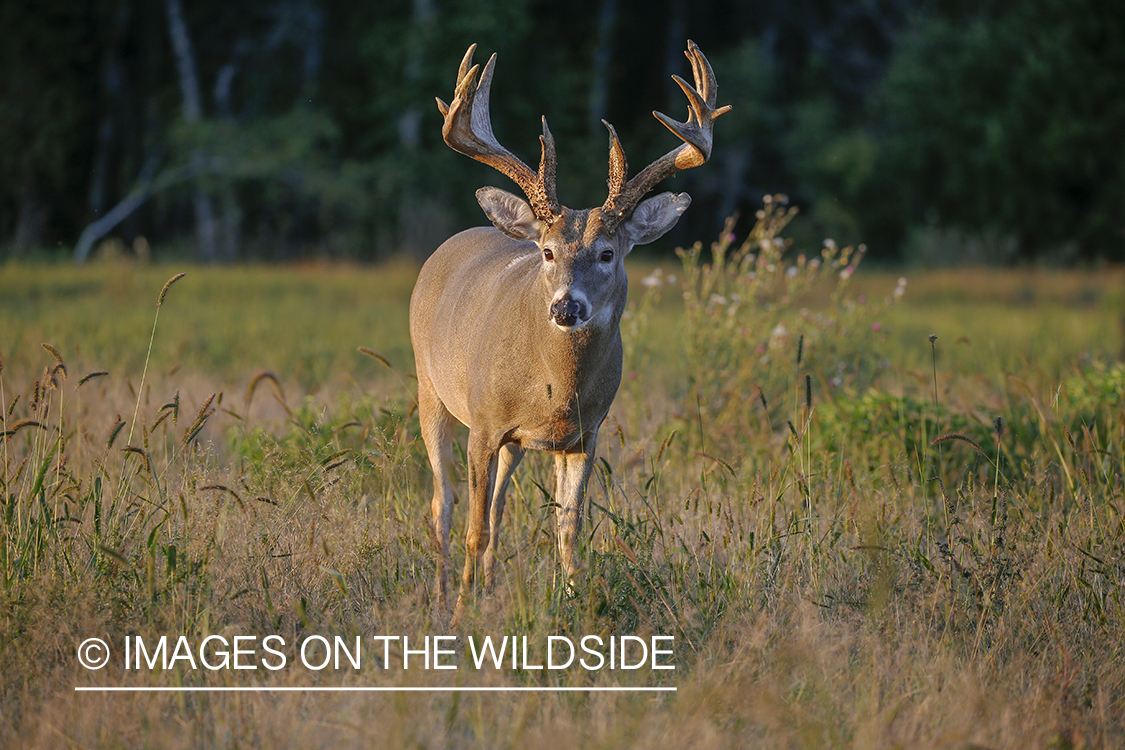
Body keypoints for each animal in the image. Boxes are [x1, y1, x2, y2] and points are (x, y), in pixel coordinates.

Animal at [414, 39, 729, 620]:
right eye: (547, 251)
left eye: (607, 253)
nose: (565, 308)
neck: (555, 386)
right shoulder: (484, 424)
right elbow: (472, 526)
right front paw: (465, 612)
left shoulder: (585, 432)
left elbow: (567, 530)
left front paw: (574, 604)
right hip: (432, 389)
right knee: (443, 503)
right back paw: (447, 597)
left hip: (516, 443)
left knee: (499, 506)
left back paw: (488, 588)